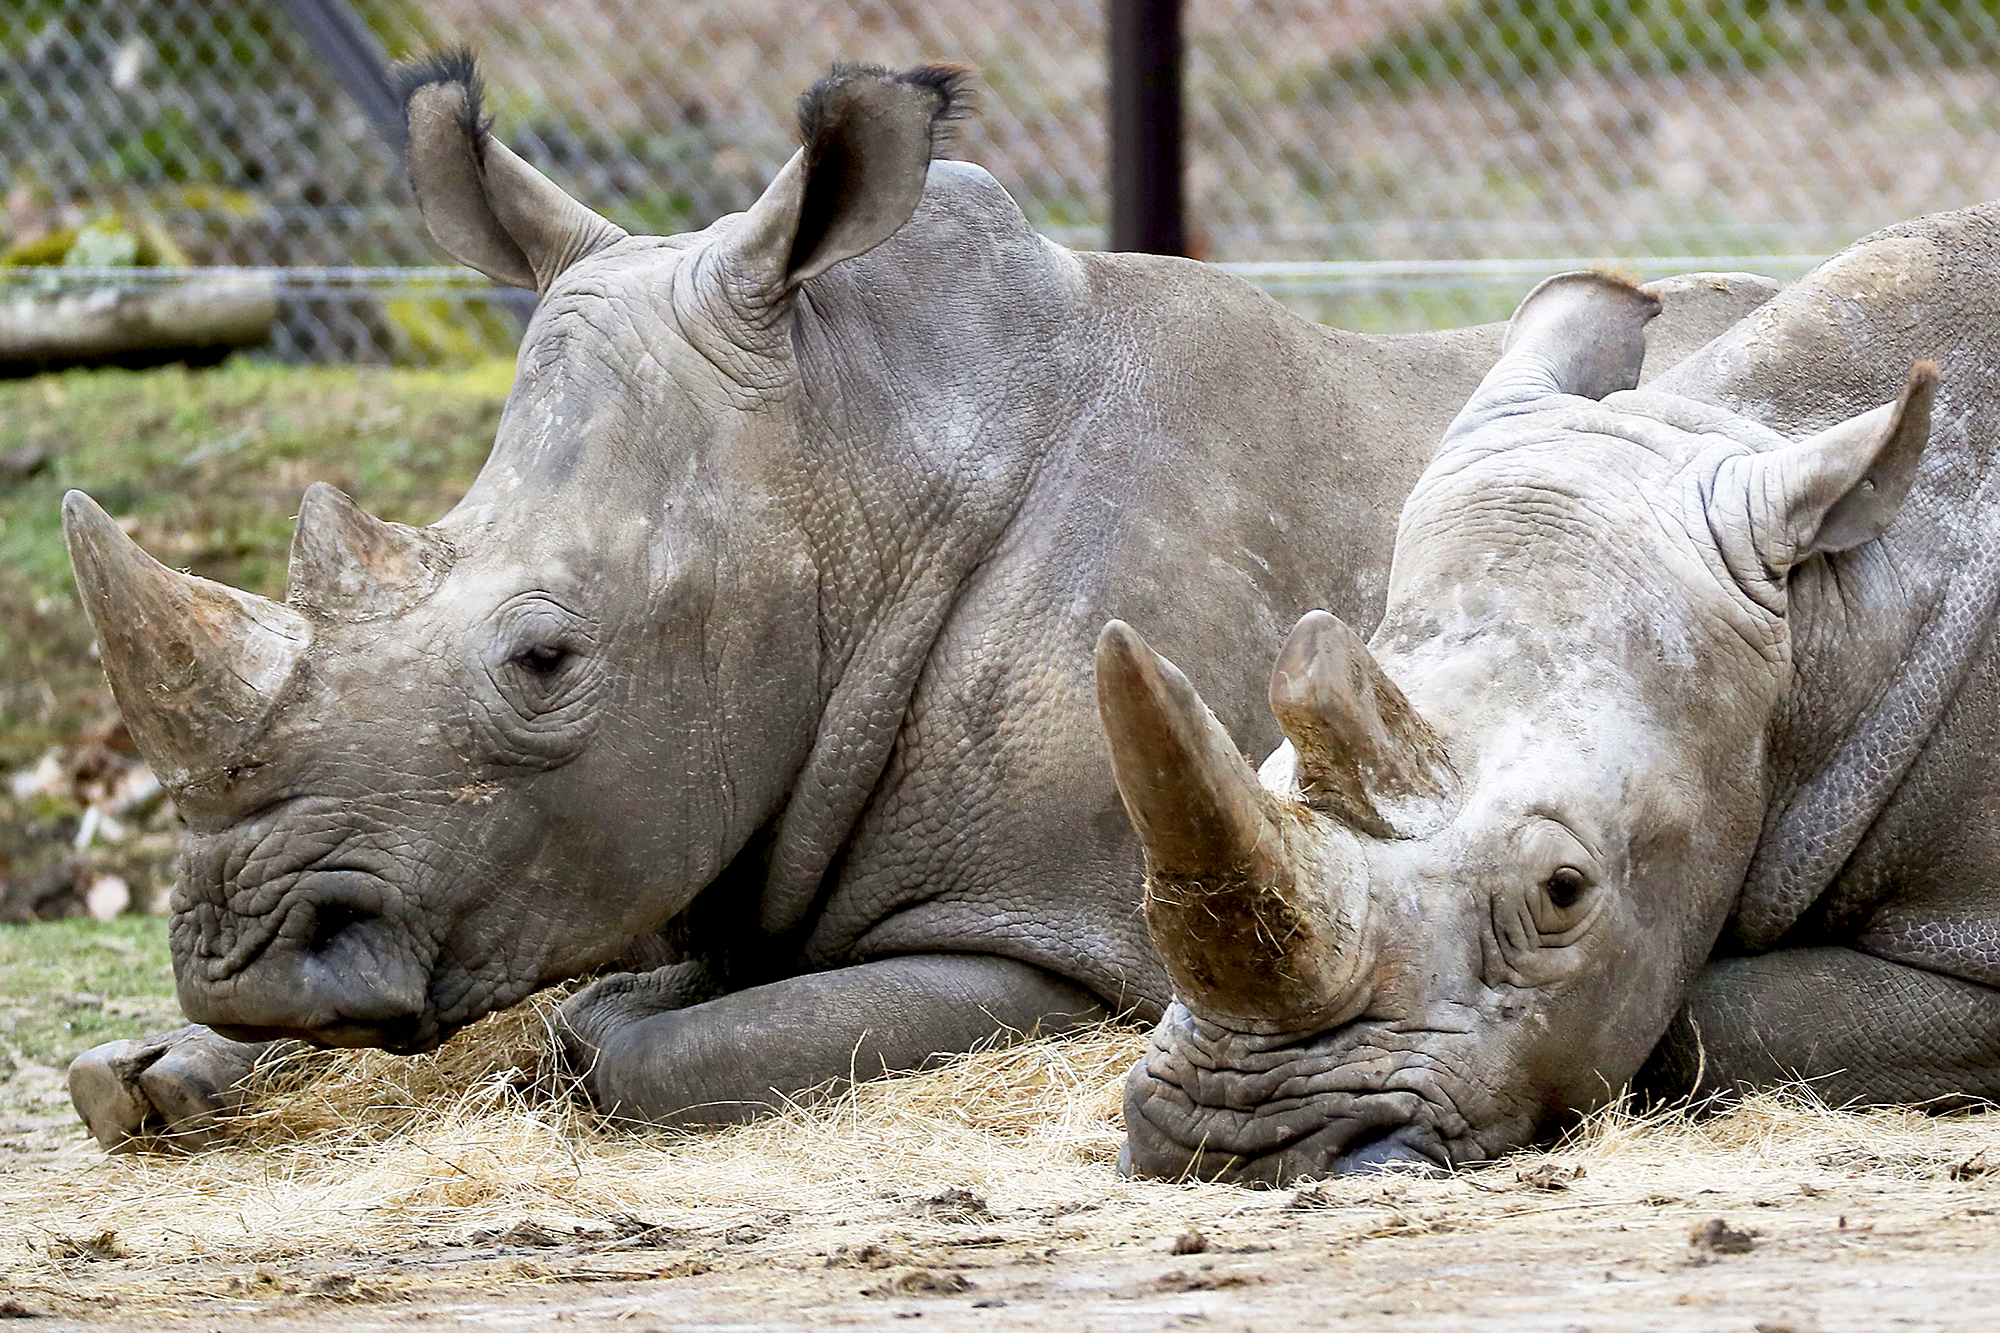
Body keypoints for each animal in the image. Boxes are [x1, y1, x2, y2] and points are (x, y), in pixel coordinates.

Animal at [60, 54, 1774, 1150]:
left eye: (543, 658)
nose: (245, 955)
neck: (852, 469)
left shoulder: (1056, 934)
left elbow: (649, 1046)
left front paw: (608, 1022)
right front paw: (145, 1067)